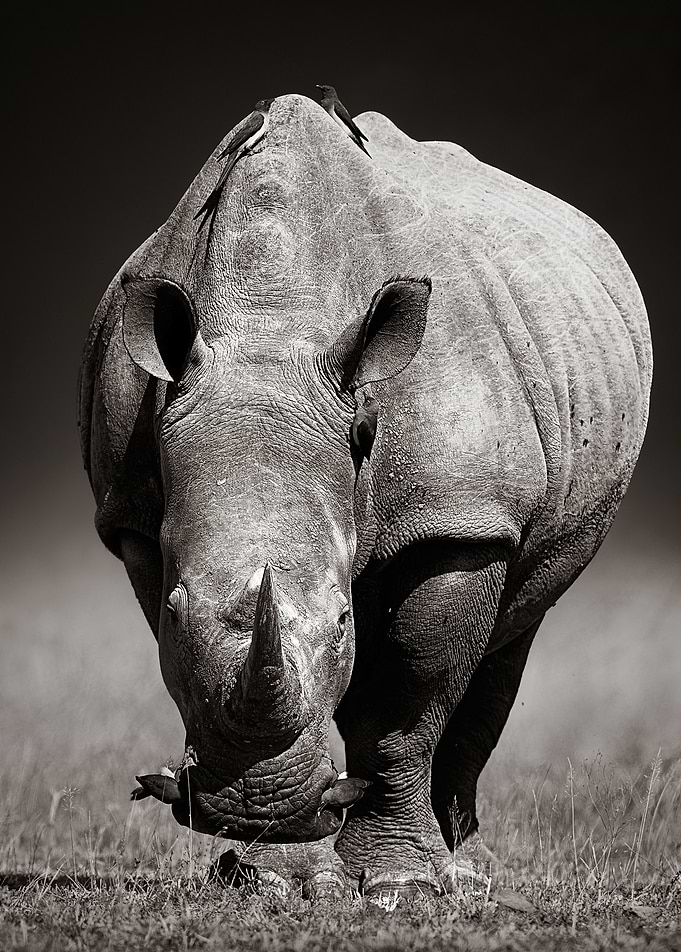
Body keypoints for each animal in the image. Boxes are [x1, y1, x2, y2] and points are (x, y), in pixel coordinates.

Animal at [78, 94, 652, 897]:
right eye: (175, 608)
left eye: (343, 617)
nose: (254, 803)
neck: (269, 331)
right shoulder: (132, 517)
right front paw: (277, 875)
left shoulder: (459, 519)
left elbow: (405, 700)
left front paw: (397, 886)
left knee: (512, 631)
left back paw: (457, 866)